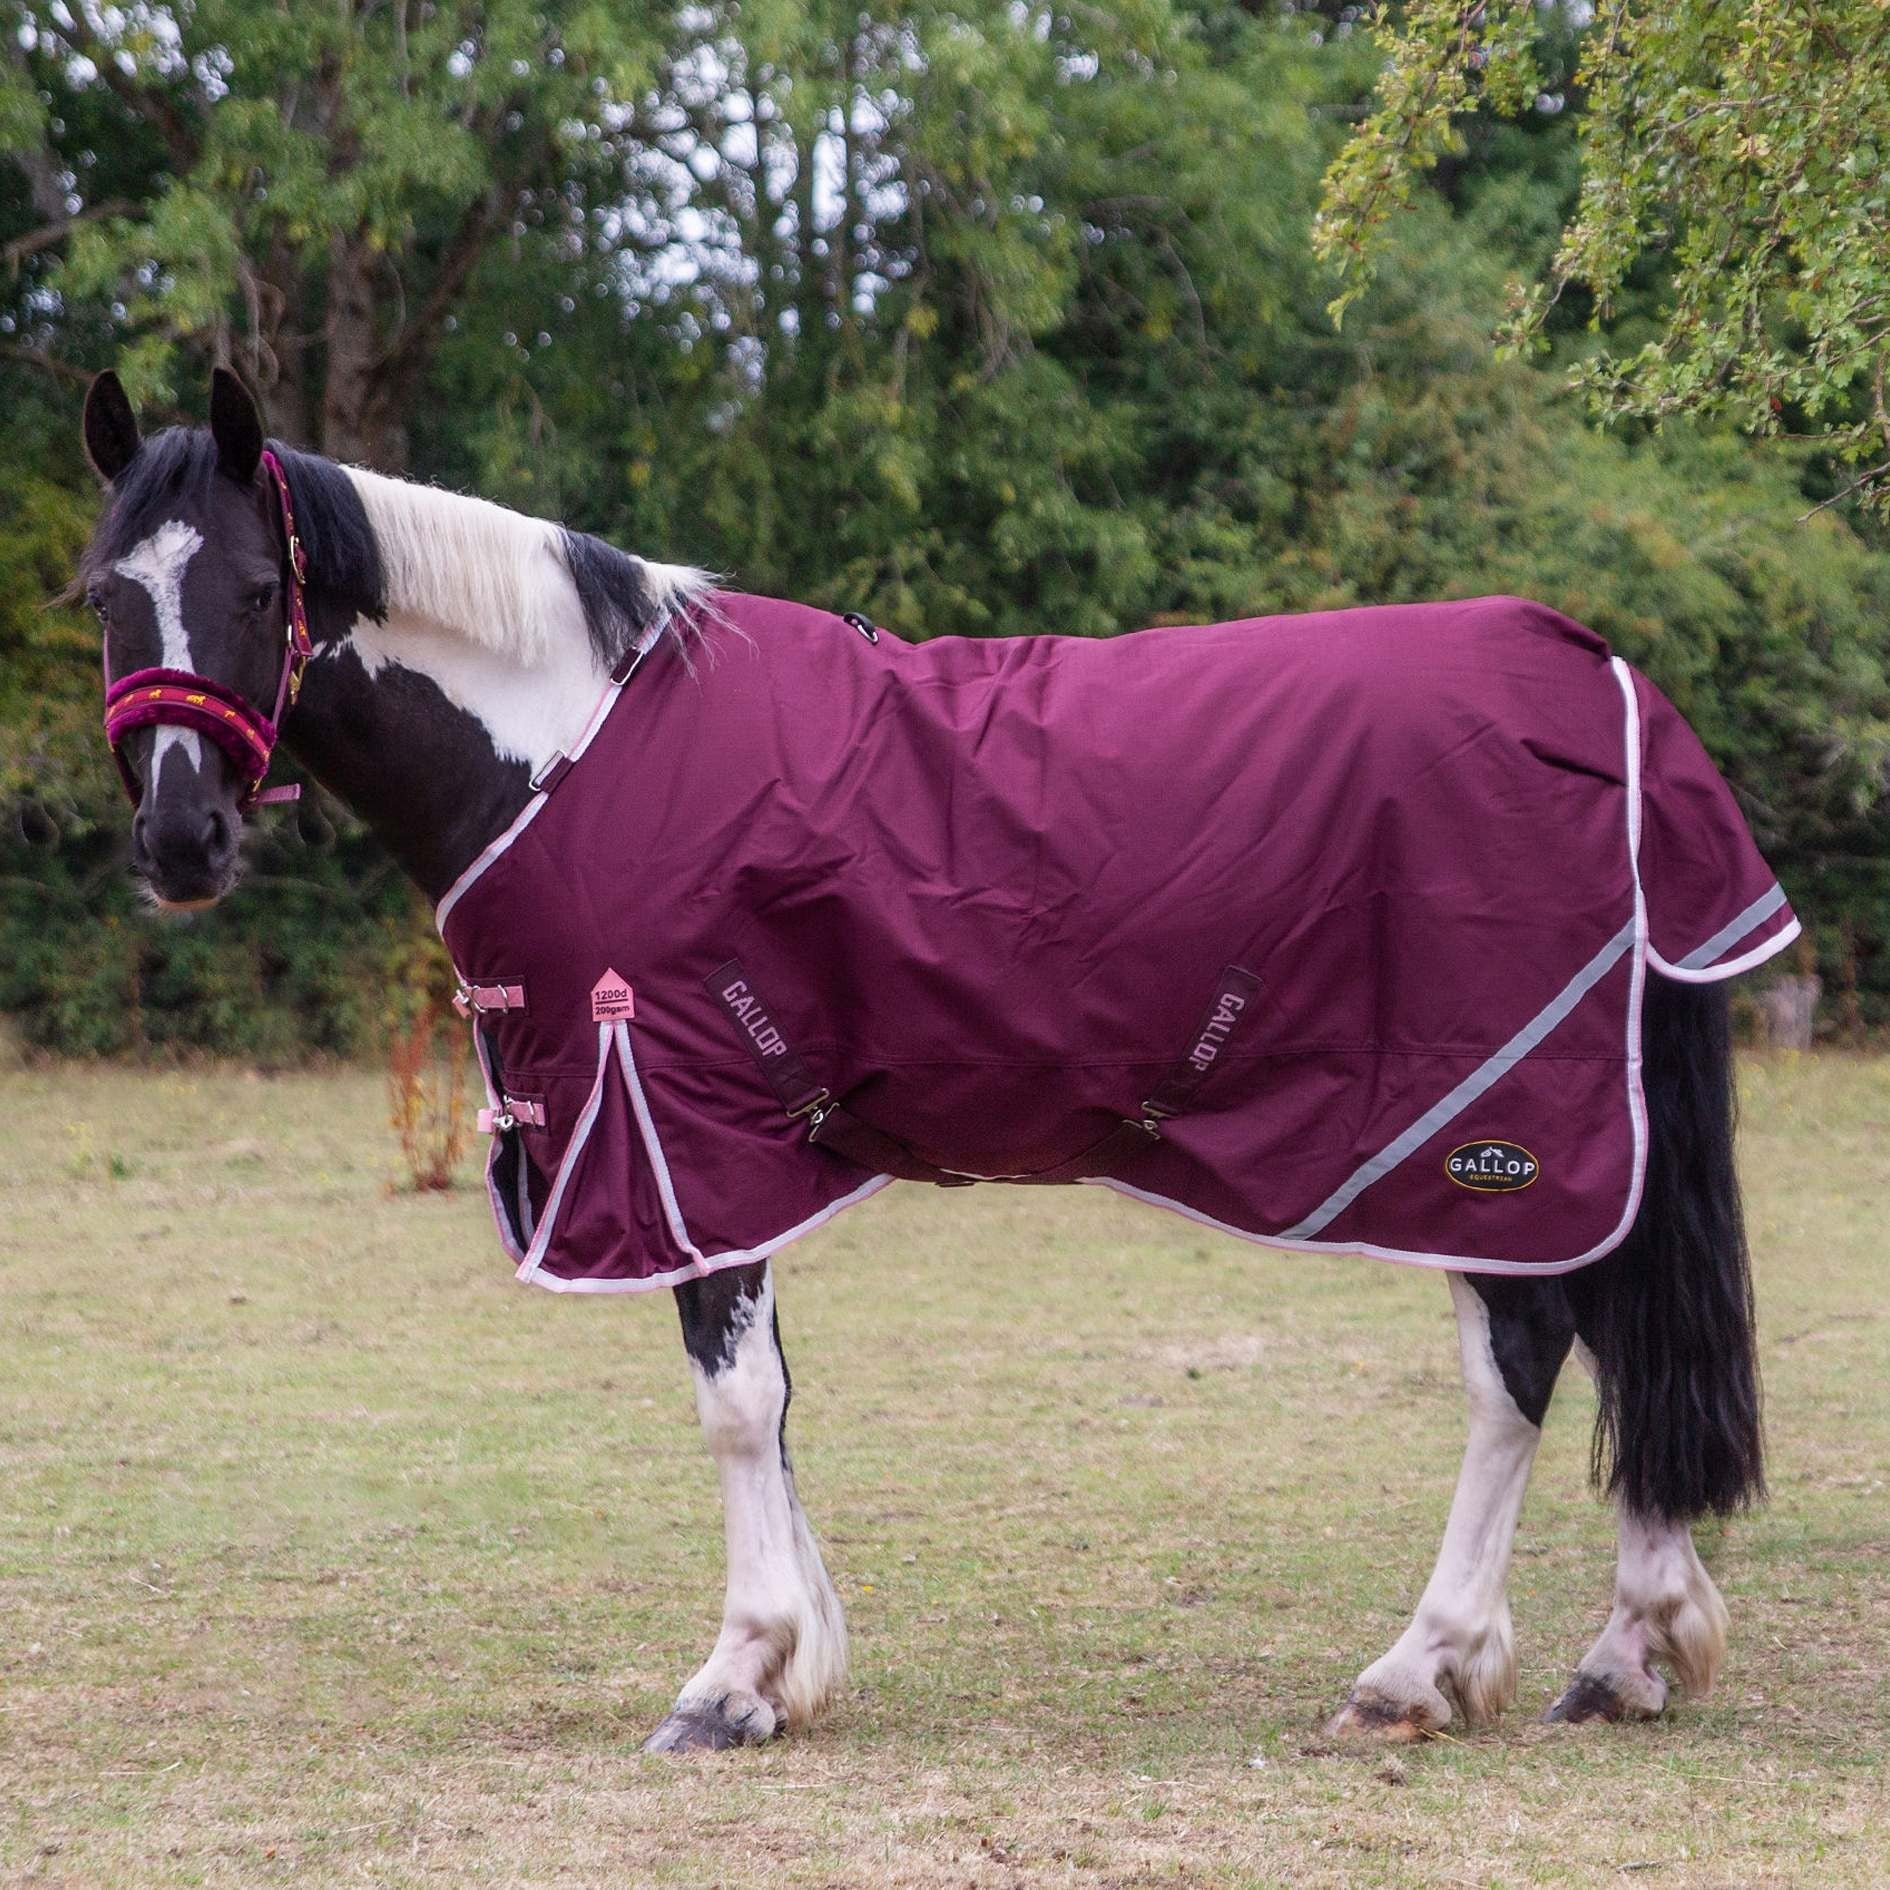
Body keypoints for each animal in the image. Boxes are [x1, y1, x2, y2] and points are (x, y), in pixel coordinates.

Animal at [73, 366, 1786, 1751]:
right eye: (102, 597)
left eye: (251, 584)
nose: (180, 840)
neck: (560, 746)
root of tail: (1599, 677)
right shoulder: (717, 1148)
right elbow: (775, 1399)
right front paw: (793, 1666)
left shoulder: (674, 1125)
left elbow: (734, 1402)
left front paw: (733, 1679)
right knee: (1624, 1338)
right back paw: (1623, 1656)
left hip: (1483, 1136)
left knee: (1524, 1359)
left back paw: (1420, 1668)